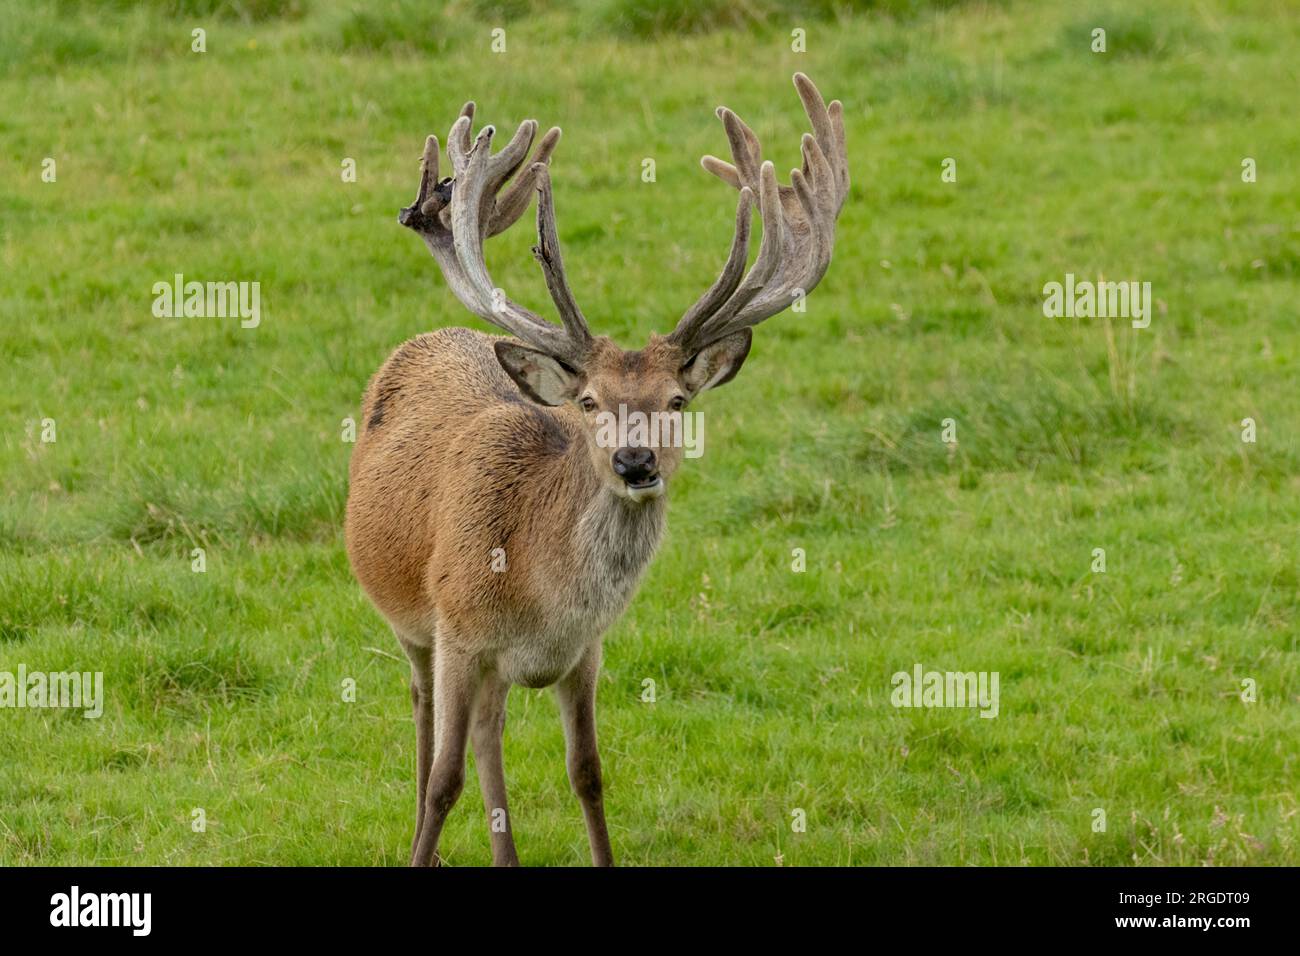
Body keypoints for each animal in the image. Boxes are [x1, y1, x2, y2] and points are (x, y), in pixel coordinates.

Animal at [345, 74, 847, 868]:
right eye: (588, 402)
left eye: (677, 400)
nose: (635, 460)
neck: (536, 593)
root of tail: (434, 333)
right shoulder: (458, 633)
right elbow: (445, 781)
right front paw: (421, 843)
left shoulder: (585, 652)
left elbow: (587, 771)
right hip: (408, 621)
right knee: (425, 717)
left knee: (490, 732)